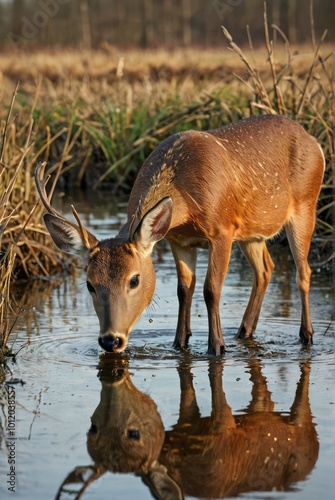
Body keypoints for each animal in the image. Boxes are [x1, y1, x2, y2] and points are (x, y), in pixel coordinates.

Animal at [36, 113, 326, 356]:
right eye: (89, 284)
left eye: (134, 280)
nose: (110, 340)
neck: (186, 203)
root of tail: (315, 143)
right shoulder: (179, 241)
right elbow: (184, 289)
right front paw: (179, 343)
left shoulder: (222, 232)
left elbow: (211, 289)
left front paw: (216, 347)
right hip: (251, 233)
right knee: (266, 268)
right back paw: (244, 332)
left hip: (305, 207)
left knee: (303, 271)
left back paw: (306, 335)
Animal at [56, 358, 318, 498]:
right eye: (92, 428)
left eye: (134, 433)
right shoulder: (186, 418)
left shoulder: (224, 427)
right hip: (263, 408)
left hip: (303, 427)